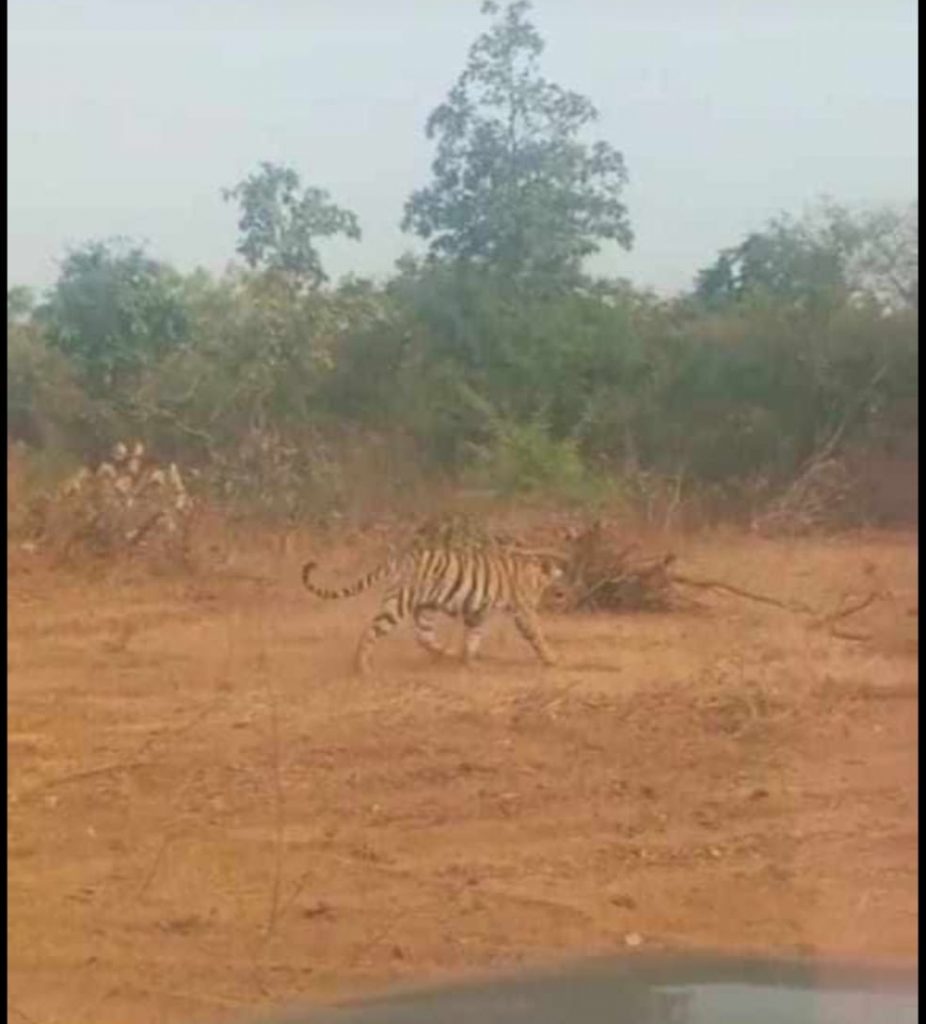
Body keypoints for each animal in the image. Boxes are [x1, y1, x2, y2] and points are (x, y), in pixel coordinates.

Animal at [301, 524, 569, 675]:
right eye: (559, 586)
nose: (565, 593)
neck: (536, 573)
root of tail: (399, 559)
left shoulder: (477, 613)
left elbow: (473, 637)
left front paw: (470, 662)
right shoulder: (523, 611)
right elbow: (537, 636)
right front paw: (552, 659)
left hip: (424, 609)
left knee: (424, 637)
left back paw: (448, 654)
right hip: (398, 604)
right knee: (371, 631)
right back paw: (362, 668)